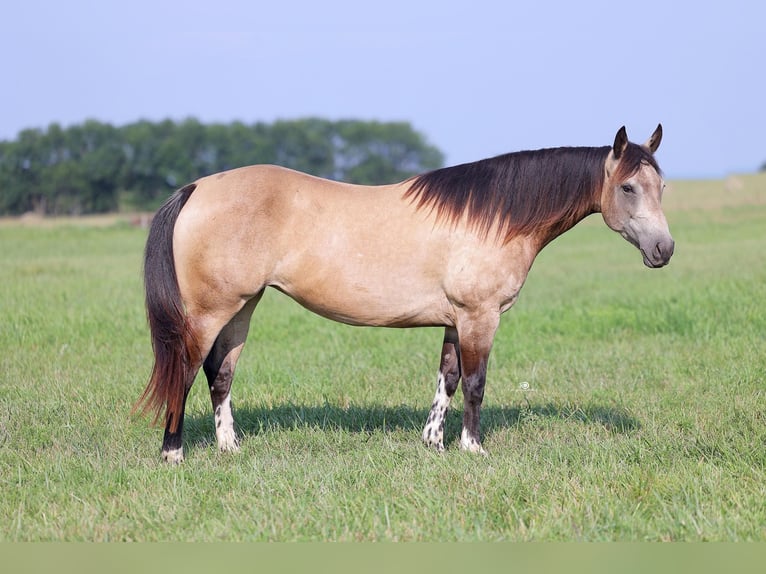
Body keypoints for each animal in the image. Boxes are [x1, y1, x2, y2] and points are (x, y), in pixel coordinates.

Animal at [134, 125, 674, 463]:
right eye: (628, 187)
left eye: (662, 186)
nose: (664, 250)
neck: (492, 217)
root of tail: (197, 188)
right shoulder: (479, 317)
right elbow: (475, 384)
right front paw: (473, 448)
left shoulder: (456, 320)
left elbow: (448, 380)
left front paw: (434, 443)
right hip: (210, 311)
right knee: (185, 370)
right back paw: (173, 452)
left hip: (243, 307)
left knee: (220, 374)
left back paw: (230, 448)